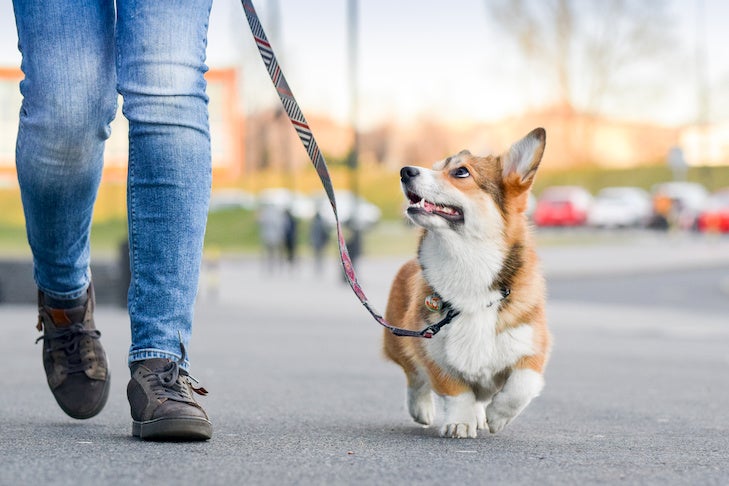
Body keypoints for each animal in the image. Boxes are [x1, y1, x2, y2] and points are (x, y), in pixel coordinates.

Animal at [384, 127, 548, 438]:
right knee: (414, 377)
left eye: (461, 172)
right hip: (398, 340)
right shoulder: (431, 348)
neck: (468, 262)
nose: (405, 171)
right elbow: (456, 391)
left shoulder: (532, 346)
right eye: (435, 167)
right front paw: (460, 422)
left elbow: (521, 385)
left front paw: (497, 416)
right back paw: (422, 409)